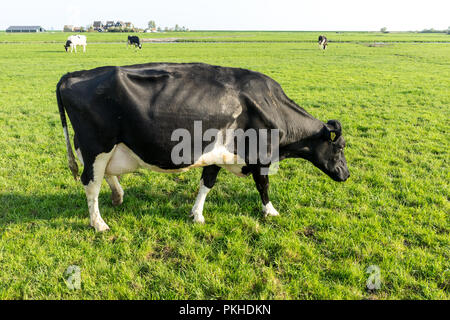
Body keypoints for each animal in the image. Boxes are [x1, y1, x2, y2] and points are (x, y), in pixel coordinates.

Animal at [56, 62, 350, 231]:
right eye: (340, 148)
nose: (346, 174)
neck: (272, 105)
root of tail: (74, 75)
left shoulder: (217, 156)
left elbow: (207, 183)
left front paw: (196, 214)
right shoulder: (261, 156)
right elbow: (263, 185)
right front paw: (271, 211)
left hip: (104, 148)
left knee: (105, 174)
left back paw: (118, 196)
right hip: (97, 145)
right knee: (91, 183)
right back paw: (99, 223)